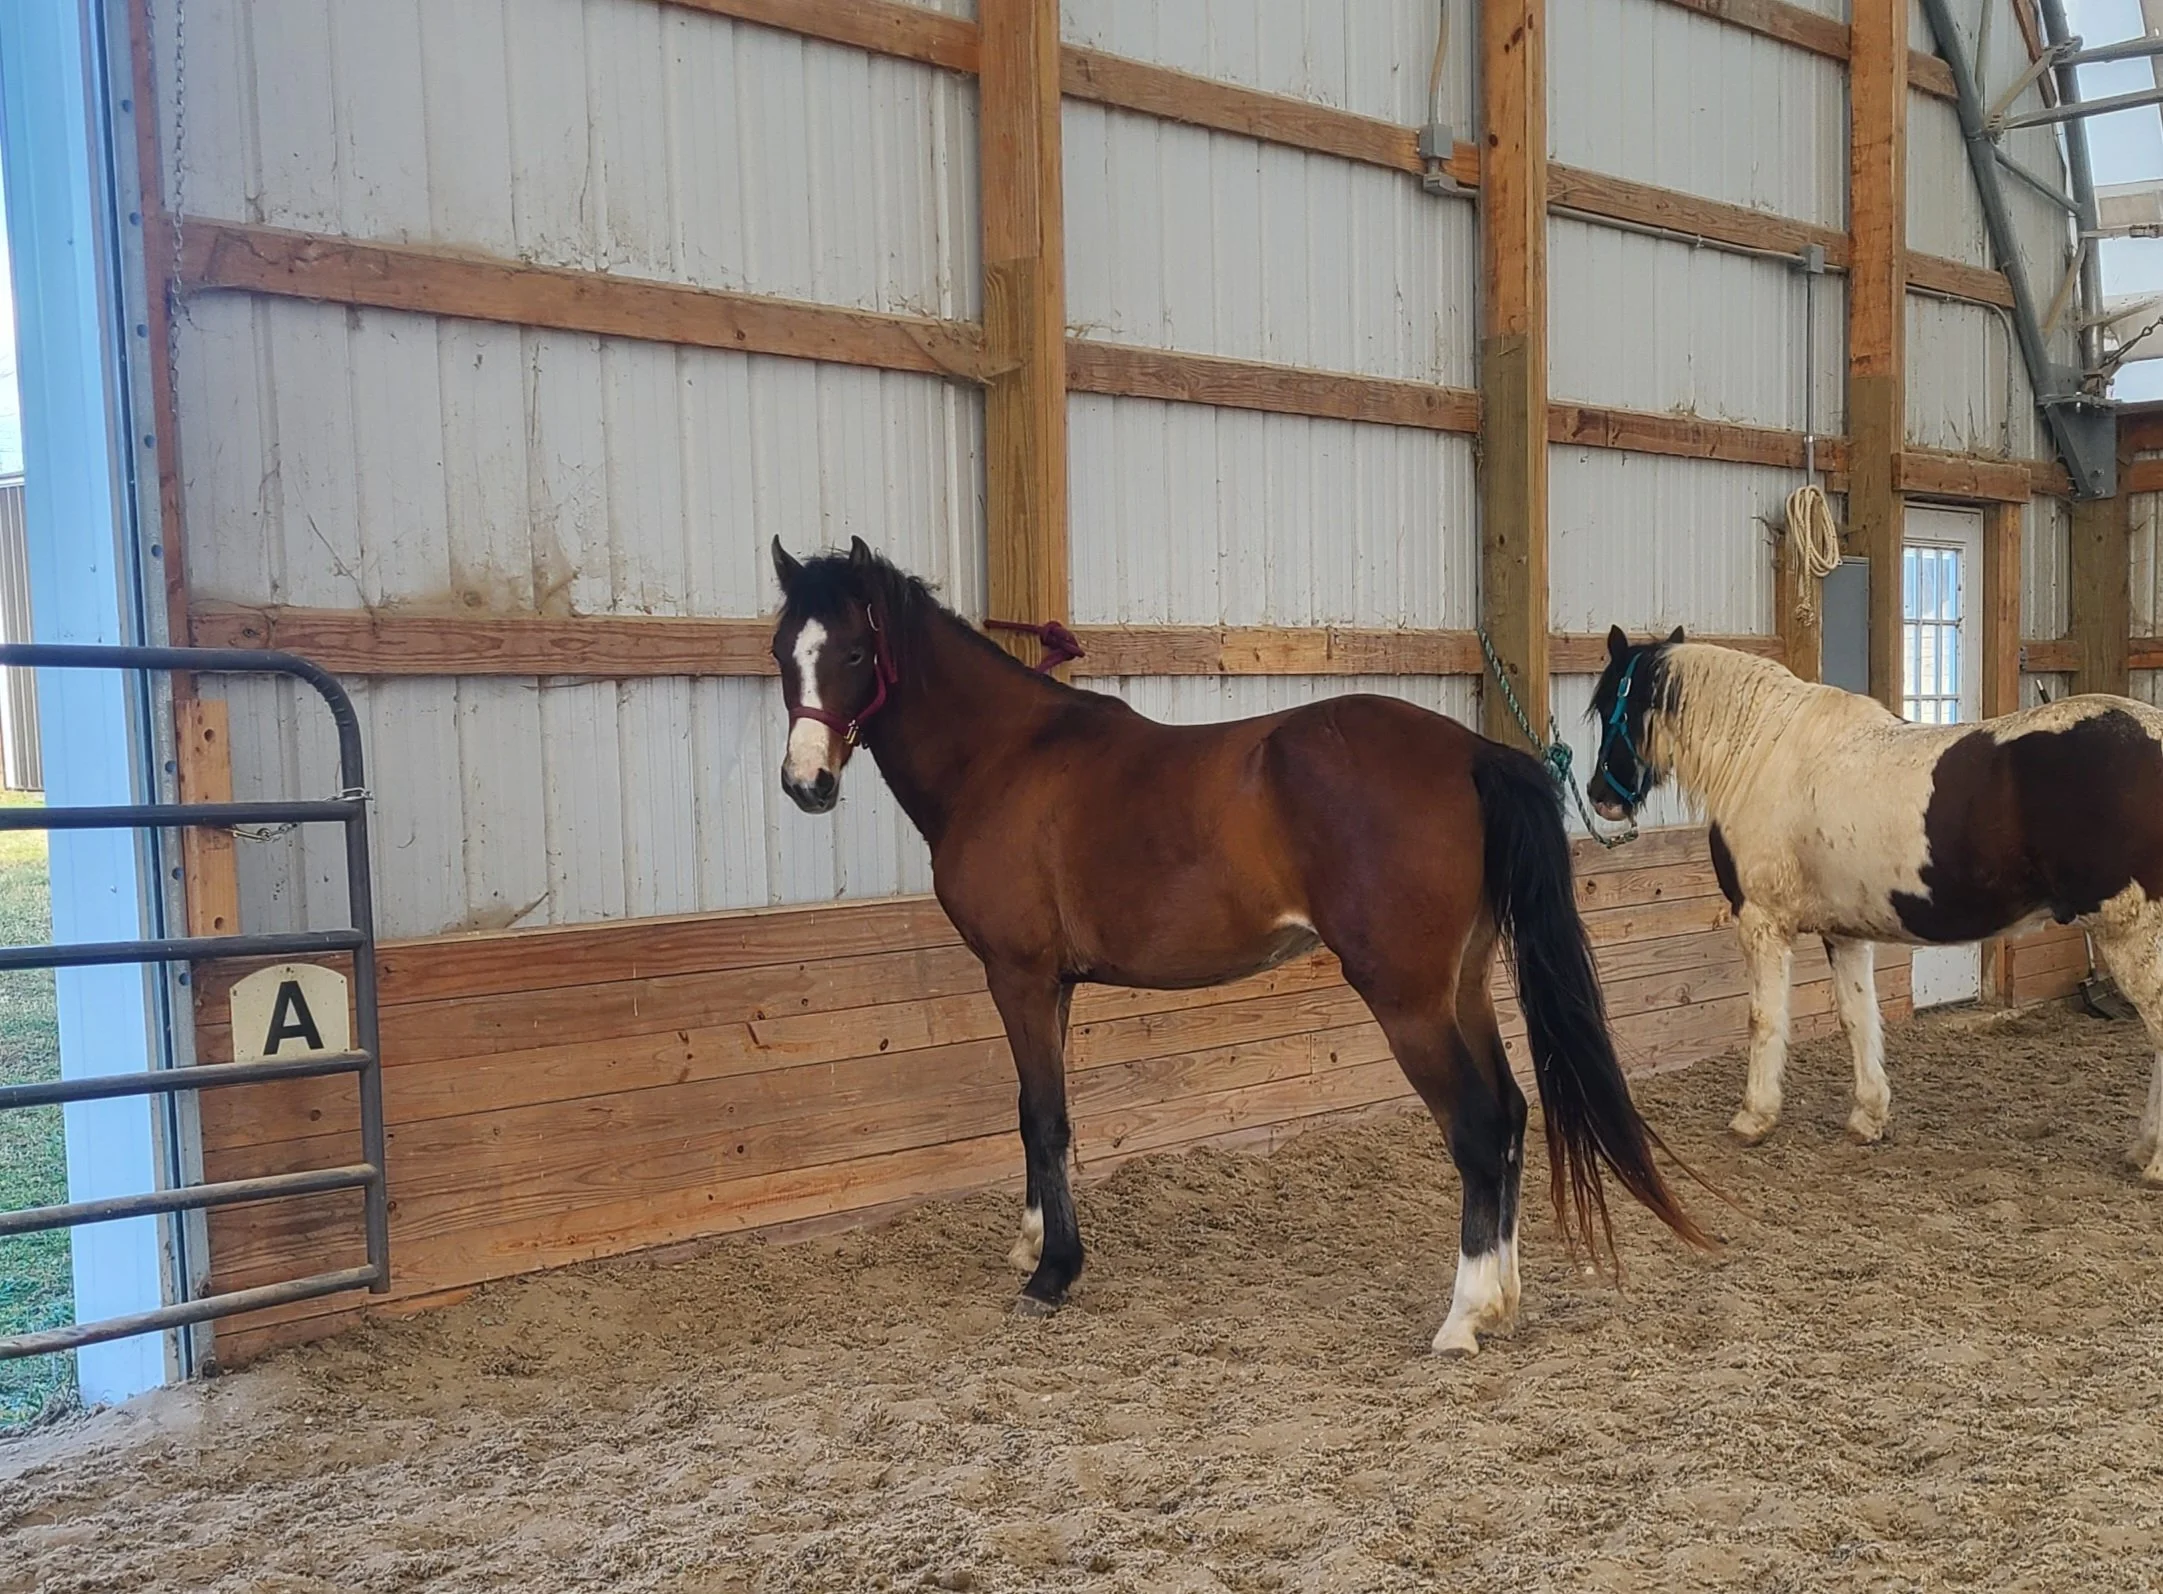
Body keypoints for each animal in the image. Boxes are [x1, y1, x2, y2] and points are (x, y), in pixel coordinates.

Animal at [767, 538, 1710, 1355]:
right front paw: (1034, 1242)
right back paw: (1503, 1297)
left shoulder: (1018, 976)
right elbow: (1043, 1117)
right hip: (1464, 985)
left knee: (1477, 1126)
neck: (1005, 757)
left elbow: (1042, 1116)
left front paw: (1051, 1274)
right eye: (782, 651)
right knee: (1511, 1113)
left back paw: (1462, 1317)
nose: (805, 785)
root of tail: (1473, 753)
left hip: (1407, 998)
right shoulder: (1054, 985)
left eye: (855, 652)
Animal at [1584, 627, 2163, 1178]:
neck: (1762, 751)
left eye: (1611, 703)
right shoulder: (1844, 933)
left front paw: (1754, 1117)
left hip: (2132, 936)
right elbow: (1857, 1017)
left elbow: (1763, 1019)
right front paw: (1868, 1117)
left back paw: (2152, 1163)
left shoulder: (1761, 922)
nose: (1599, 796)